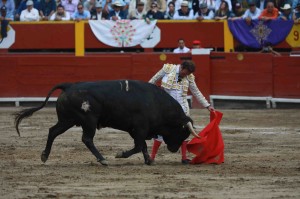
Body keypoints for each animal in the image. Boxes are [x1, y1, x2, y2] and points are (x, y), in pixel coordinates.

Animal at [14, 80, 198, 166]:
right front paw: (120, 154)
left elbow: (143, 146)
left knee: (52, 131)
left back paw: (44, 156)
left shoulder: (137, 130)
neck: (156, 102)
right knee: (87, 139)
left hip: (67, 120)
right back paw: (103, 159)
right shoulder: (139, 128)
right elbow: (139, 146)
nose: (173, 149)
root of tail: (69, 86)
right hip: (88, 121)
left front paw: (148, 161)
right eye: (182, 132)